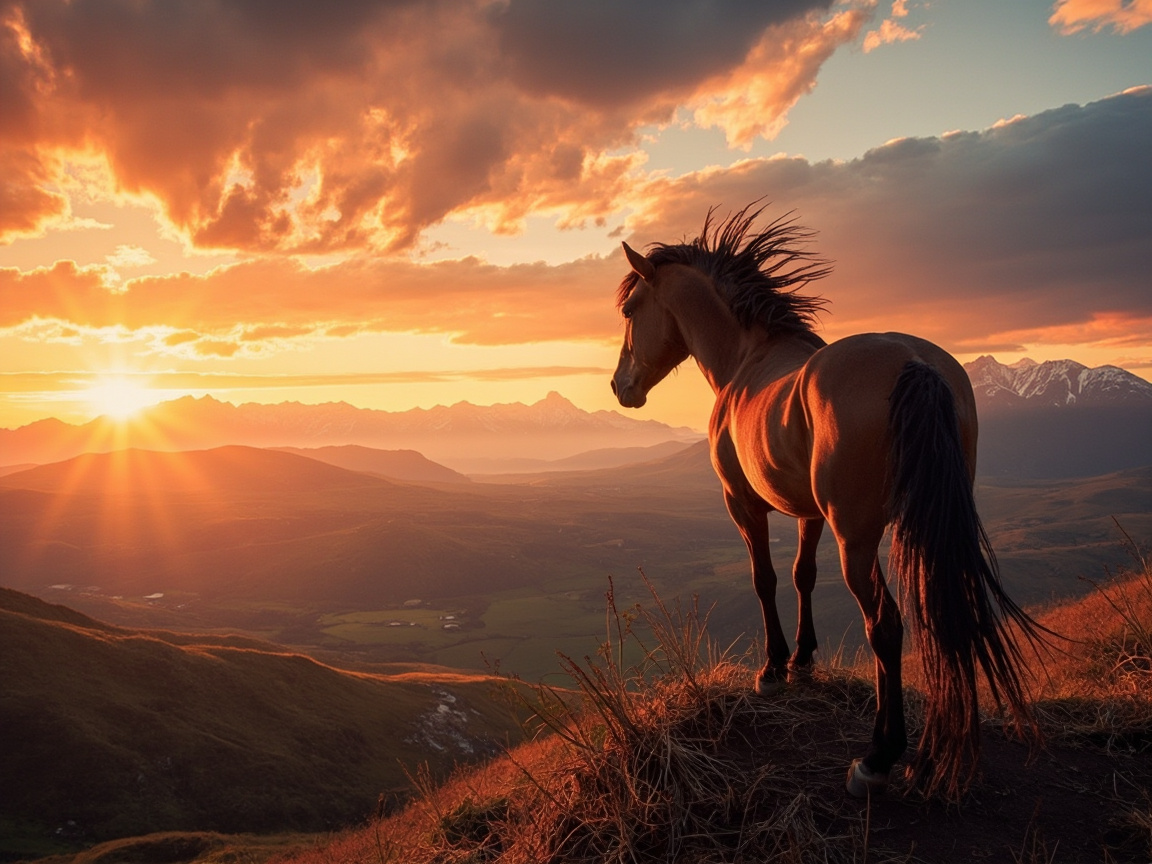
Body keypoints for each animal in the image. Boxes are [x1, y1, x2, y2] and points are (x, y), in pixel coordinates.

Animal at [610, 204, 1038, 799]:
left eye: (631, 310)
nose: (619, 386)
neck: (747, 358)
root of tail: (915, 362)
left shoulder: (743, 505)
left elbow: (765, 579)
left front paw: (772, 669)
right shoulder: (808, 513)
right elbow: (802, 576)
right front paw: (803, 660)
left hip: (856, 539)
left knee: (885, 625)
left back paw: (878, 758)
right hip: (927, 525)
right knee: (940, 615)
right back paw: (936, 750)